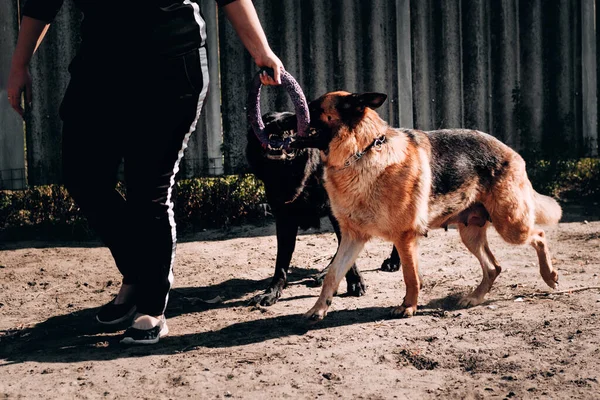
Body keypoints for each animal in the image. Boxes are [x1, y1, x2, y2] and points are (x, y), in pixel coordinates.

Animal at [246, 112, 400, 306]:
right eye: (266, 120)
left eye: (290, 123)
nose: (275, 127)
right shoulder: (284, 220)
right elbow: (281, 261)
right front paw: (272, 292)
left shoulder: (339, 214)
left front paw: (355, 282)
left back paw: (393, 262)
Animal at [298, 91, 564, 322]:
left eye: (313, 107)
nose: (287, 119)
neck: (361, 153)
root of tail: (510, 151)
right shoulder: (352, 238)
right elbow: (333, 274)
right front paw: (318, 309)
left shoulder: (404, 238)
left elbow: (410, 276)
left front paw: (408, 306)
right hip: (470, 234)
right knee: (493, 267)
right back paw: (474, 298)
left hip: (510, 226)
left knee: (539, 235)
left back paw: (549, 276)